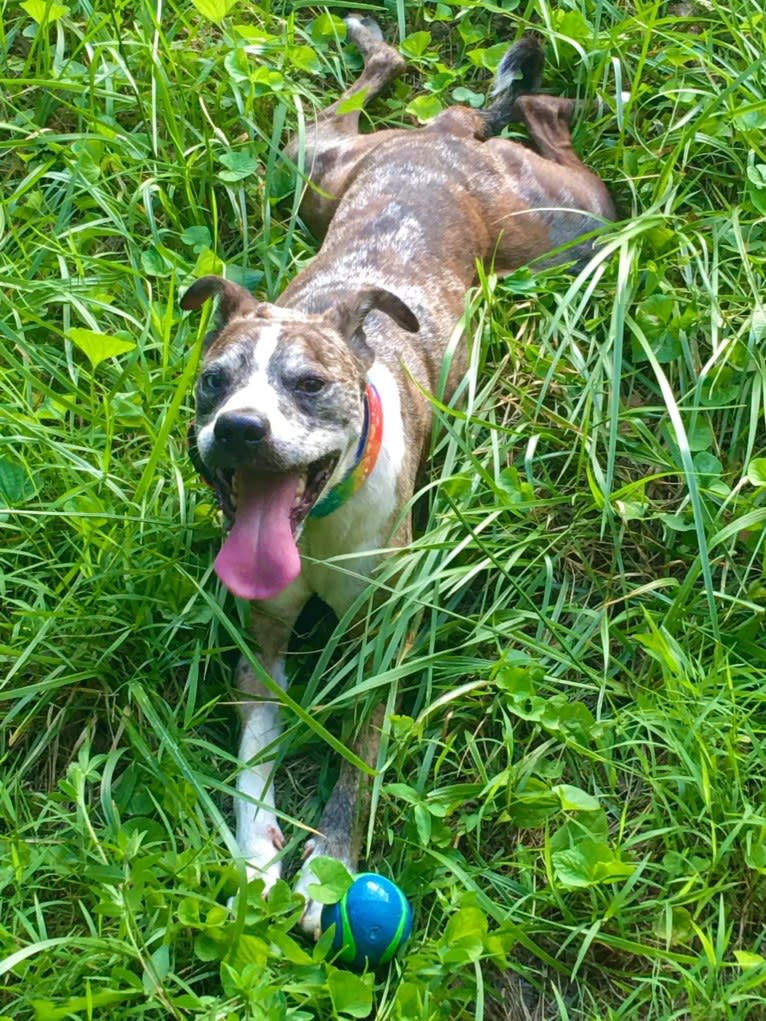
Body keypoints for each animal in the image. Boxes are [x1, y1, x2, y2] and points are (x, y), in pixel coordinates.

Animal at [178, 17, 612, 939]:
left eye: (309, 384)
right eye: (213, 383)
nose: (239, 428)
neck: (320, 525)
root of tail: (438, 140)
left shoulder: (389, 633)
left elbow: (360, 756)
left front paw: (328, 867)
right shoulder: (262, 643)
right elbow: (250, 765)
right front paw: (259, 860)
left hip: (567, 228)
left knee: (546, 125)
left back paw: (529, 82)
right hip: (314, 167)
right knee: (379, 85)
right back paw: (392, 44)